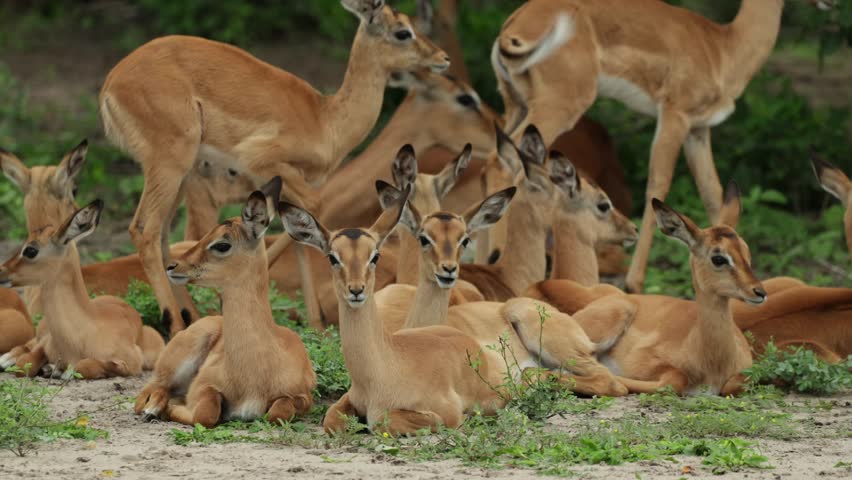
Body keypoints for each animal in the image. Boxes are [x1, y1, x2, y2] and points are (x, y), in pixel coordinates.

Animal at [0, 200, 164, 379]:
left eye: (30, 250)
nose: (1, 271)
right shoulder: (44, 343)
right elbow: (24, 364)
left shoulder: (131, 365)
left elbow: (84, 365)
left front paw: (56, 368)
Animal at [99, 0, 449, 335]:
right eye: (402, 31)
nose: (443, 58)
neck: (326, 120)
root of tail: (110, 85)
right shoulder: (263, 162)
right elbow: (309, 213)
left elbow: (302, 230)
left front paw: (316, 325)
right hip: (169, 164)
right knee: (144, 229)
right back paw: (175, 323)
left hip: (179, 174)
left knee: (160, 236)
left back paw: (194, 316)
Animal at [134, 179, 315, 427]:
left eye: (221, 244)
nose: (173, 266)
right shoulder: (203, 385)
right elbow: (206, 413)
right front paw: (171, 408)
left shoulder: (301, 396)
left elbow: (278, 413)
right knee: (148, 391)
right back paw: (153, 409)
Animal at [281, 190, 507, 436]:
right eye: (332, 257)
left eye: (374, 256)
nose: (356, 290)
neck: (380, 372)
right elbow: (331, 419)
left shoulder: (445, 413)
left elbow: (384, 420)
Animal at [489, 0, 835, 294]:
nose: (829, 3)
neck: (723, 48)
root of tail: (514, 26)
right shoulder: (674, 116)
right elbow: (657, 185)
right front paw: (635, 283)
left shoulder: (699, 130)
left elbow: (712, 192)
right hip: (560, 105)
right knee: (504, 163)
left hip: (517, 105)